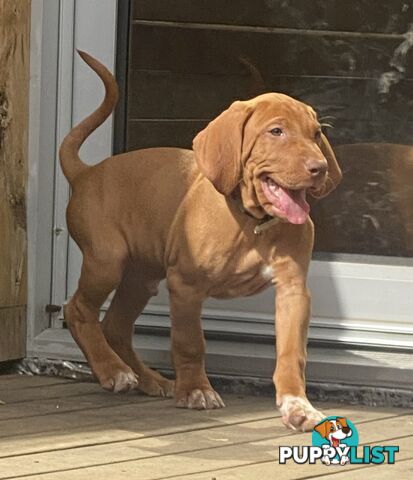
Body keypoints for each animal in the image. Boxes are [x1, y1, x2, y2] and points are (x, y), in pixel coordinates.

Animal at [58, 51, 342, 432]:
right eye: (276, 131)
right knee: (78, 310)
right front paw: (196, 390)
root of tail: (86, 173)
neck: (252, 222)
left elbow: (291, 352)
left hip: (141, 276)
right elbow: (190, 341)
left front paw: (298, 405)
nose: (319, 167)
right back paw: (112, 370)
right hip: (108, 261)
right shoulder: (186, 285)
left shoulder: (293, 290)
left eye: (316, 134)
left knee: (115, 325)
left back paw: (148, 379)